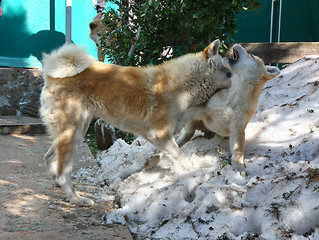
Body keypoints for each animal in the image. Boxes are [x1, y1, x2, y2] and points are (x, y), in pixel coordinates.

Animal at [40, 39, 232, 206]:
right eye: (229, 73)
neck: (183, 85)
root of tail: (52, 75)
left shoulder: (164, 136)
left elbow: (171, 152)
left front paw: (152, 162)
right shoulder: (159, 134)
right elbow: (182, 158)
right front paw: (198, 173)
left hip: (77, 132)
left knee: (49, 157)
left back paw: (58, 184)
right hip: (73, 133)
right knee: (63, 172)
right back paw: (76, 199)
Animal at [178, 43, 280, 172]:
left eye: (251, 55)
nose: (238, 44)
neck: (232, 99)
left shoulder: (237, 130)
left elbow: (237, 153)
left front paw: (239, 169)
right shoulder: (204, 110)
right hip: (193, 122)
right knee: (188, 133)